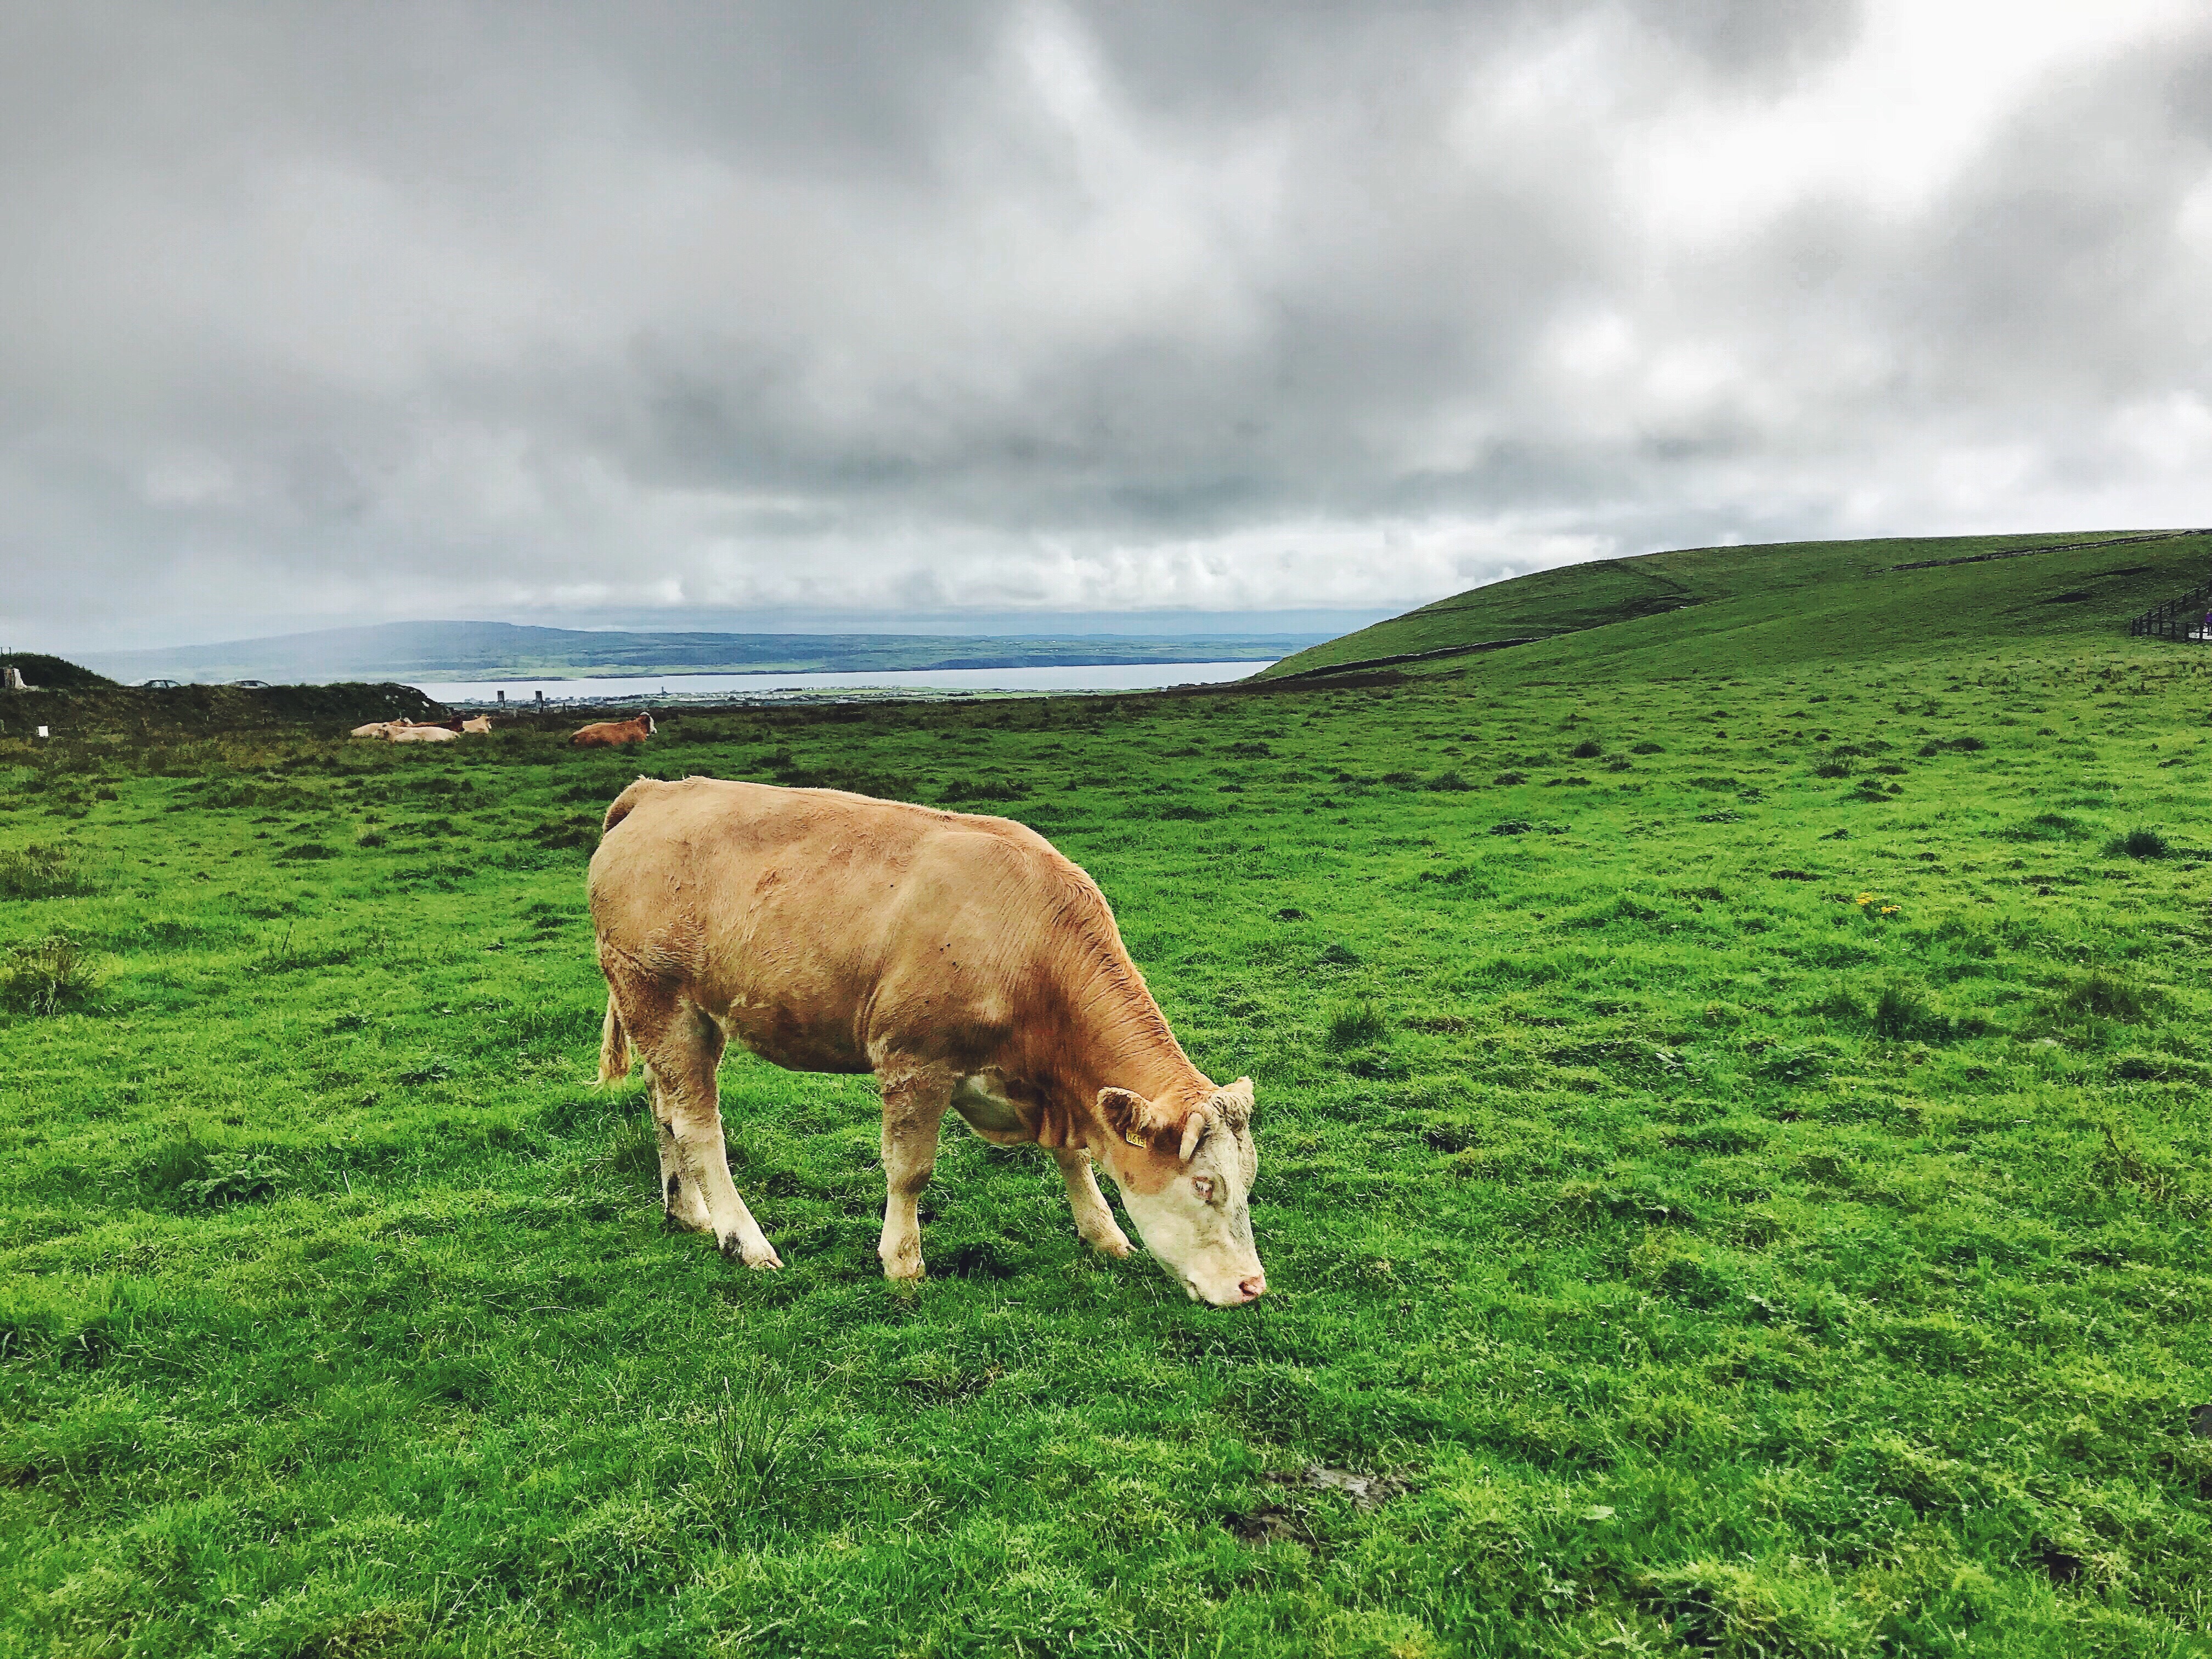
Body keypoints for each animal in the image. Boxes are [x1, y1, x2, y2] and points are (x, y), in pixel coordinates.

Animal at [588, 778, 1274, 1309]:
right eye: (1204, 1185)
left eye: (1248, 1180)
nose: (1252, 1286)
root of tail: (656, 791)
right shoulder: (916, 1062)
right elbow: (910, 1169)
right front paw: (902, 1262)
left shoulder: (1043, 1087)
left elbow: (1073, 1157)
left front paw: (1103, 1234)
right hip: (660, 998)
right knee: (699, 1126)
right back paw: (743, 1239)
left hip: (669, 1015)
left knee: (664, 1108)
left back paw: (687, 1211)